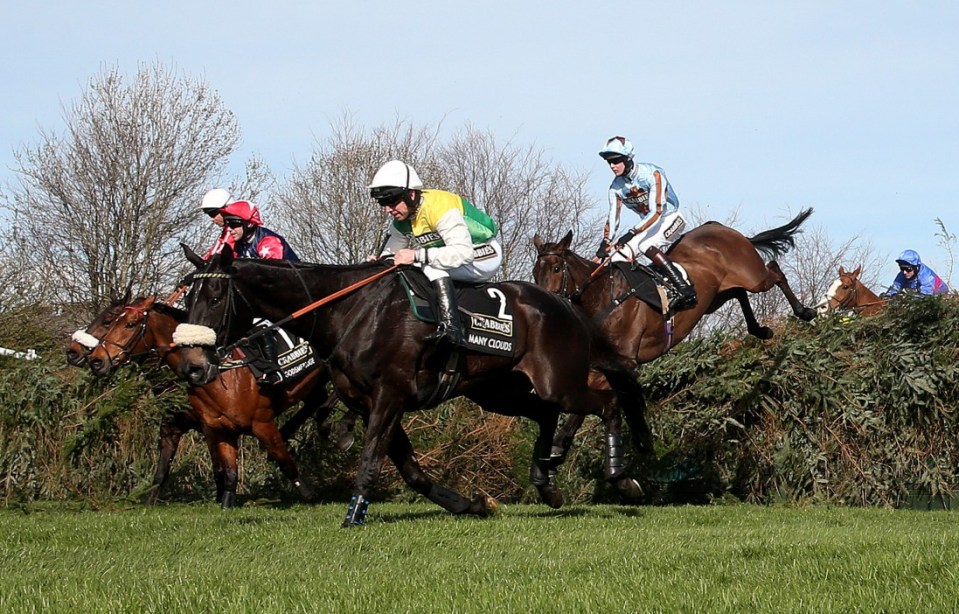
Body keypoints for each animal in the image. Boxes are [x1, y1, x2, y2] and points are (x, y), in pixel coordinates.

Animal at [175, 248, 648, 528]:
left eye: (215, 296)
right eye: (186, 299)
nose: (194, 367)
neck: (350, 311)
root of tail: (566, 305)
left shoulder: (390, 395)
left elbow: (371, 457)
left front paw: (353, 515)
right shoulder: (372, 402)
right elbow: (411, 471)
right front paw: (471, 505)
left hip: (556, 380)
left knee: (606, 401)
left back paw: (622, 478)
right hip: (499, 390)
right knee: (546, 413)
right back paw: (546, 483)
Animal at [532, 211, 816, 458]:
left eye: (556, 268)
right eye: (536, 272)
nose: (545, 302)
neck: (604, 297)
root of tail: (720, 228)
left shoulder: (624, 362)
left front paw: (560, 441)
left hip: (753, 277)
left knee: (774, 270)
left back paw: (805, 311)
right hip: (715, 296)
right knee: (739, 292)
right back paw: (760, 329)